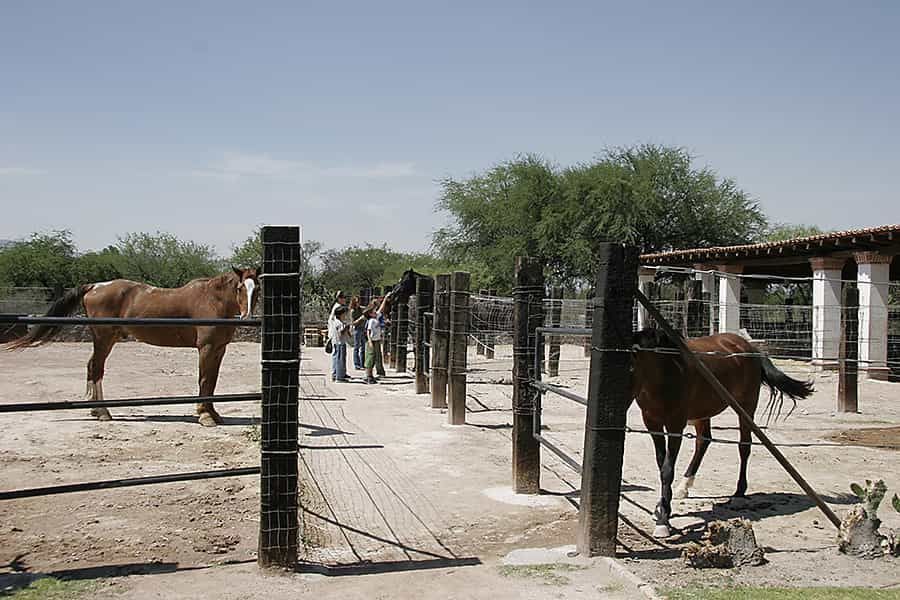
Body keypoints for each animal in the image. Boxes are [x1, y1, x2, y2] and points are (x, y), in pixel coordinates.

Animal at [6, 268, 260, 426]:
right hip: (103, 338)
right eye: (240, 288)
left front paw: (214, 414)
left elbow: (211, 382)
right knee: (96, 368)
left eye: (257, 289)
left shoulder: (218, 349)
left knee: (92, 367)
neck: (211, 300)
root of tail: (94, 286)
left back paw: (96, 410)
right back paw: (103, 413)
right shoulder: (206, 348)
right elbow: (204, 380)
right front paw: (205, 417)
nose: (247, 317)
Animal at [628, 328, 812, 540]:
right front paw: (661, 509)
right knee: (704, 441)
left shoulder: (675, 425)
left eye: (629, 368)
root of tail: (749, 347)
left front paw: (663, 520)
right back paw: (684, 486)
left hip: (745, 408)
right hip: (703, 411)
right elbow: (661, 464)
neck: (667, 371)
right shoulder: (652, 423)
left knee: (744, 446)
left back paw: (739, 493)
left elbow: (667, 469)